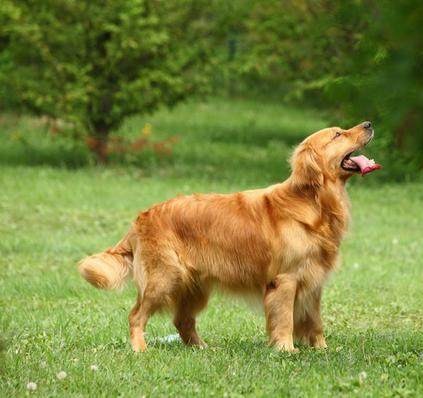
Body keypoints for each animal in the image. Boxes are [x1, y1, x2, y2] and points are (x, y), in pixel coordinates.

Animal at [78, 120, 380, 352]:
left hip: (195, 287)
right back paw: (140, 348)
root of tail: (141, 218)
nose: (368, 123)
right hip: (164, 278)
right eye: (337, 134)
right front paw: (286, 349)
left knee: (182, 321)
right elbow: (284, 319)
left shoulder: (314, 281)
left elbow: (315, 322)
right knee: (136, 316)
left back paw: (202, 348)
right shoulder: (285, 279)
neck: (315, 203)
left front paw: (321, 349)